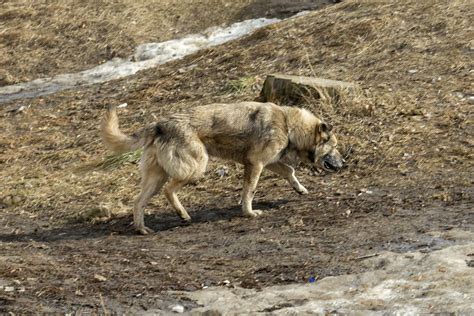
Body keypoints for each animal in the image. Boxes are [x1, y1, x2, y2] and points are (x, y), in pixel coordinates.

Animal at [101, 102, 344, 235]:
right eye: (335, 147)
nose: (345, 163)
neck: (287, 124)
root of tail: (159, 124)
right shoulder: (256, 164)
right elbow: (249, 192)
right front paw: (249, 213)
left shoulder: (270, 163)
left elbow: (290, 172)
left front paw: (300, 190)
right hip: (196, 168)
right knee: (169, 190)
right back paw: (183, 215)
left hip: (156, 180)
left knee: (138, 202)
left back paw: (142, 229)